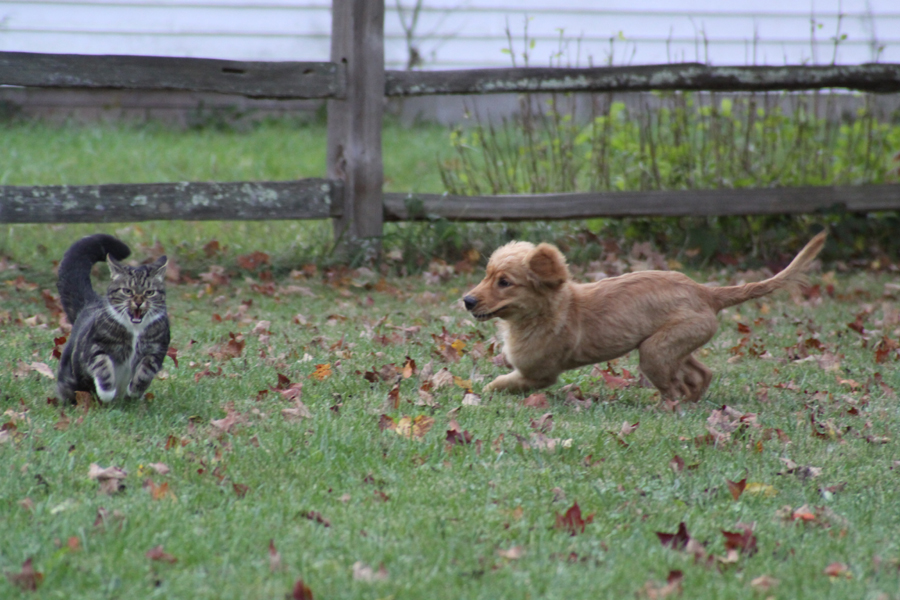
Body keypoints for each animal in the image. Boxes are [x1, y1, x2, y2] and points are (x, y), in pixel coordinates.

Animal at [56, 234, 170, 404]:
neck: (135, 329)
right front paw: (107, 392)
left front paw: (134, 390)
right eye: (127, 291)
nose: (138, 301)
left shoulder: (156, 350)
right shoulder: (95, 345)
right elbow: (102, 364)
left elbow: (145, 372)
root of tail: (91, 302)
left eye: (150, 292)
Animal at [463, 232, 826, 401]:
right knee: (701, 374)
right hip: (673, 344)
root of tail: (706, 292)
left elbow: (500, 383)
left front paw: (480, 393)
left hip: (654, 353)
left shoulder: (538, 374)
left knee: (675, 389)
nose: (466, 301)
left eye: (504, 282)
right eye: (486, 275)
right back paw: (693, 400)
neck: (549, 310)